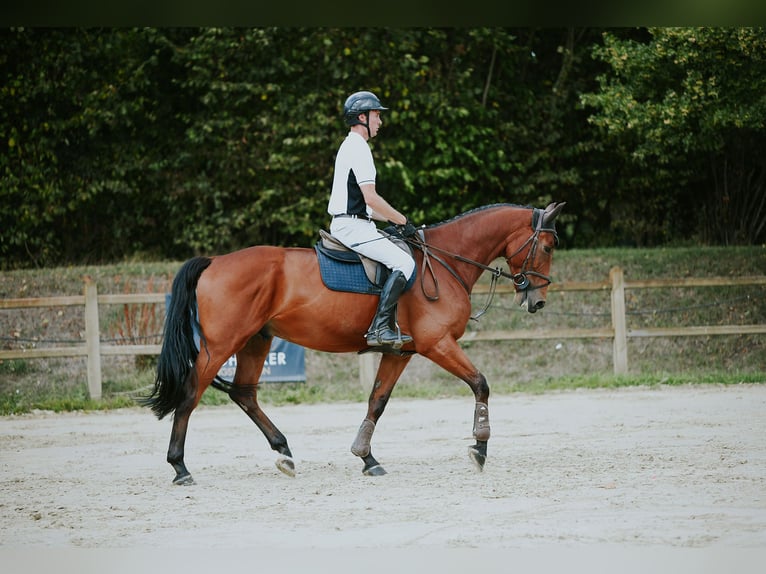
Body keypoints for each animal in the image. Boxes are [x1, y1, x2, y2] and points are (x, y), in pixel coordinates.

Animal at [142, 202, 565, 484]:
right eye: (546, 247)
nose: (537, 301)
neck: (445, 262)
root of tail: (214, 261)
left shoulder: (402, 352)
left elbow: (377, 401)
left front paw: (366, 457)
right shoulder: (437, 344)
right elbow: (481, 383)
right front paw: (479, 448)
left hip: (256, 341)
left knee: (244, 393)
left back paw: (284, 453)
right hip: (222, 345)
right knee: (190, 395)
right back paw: (180, 466)